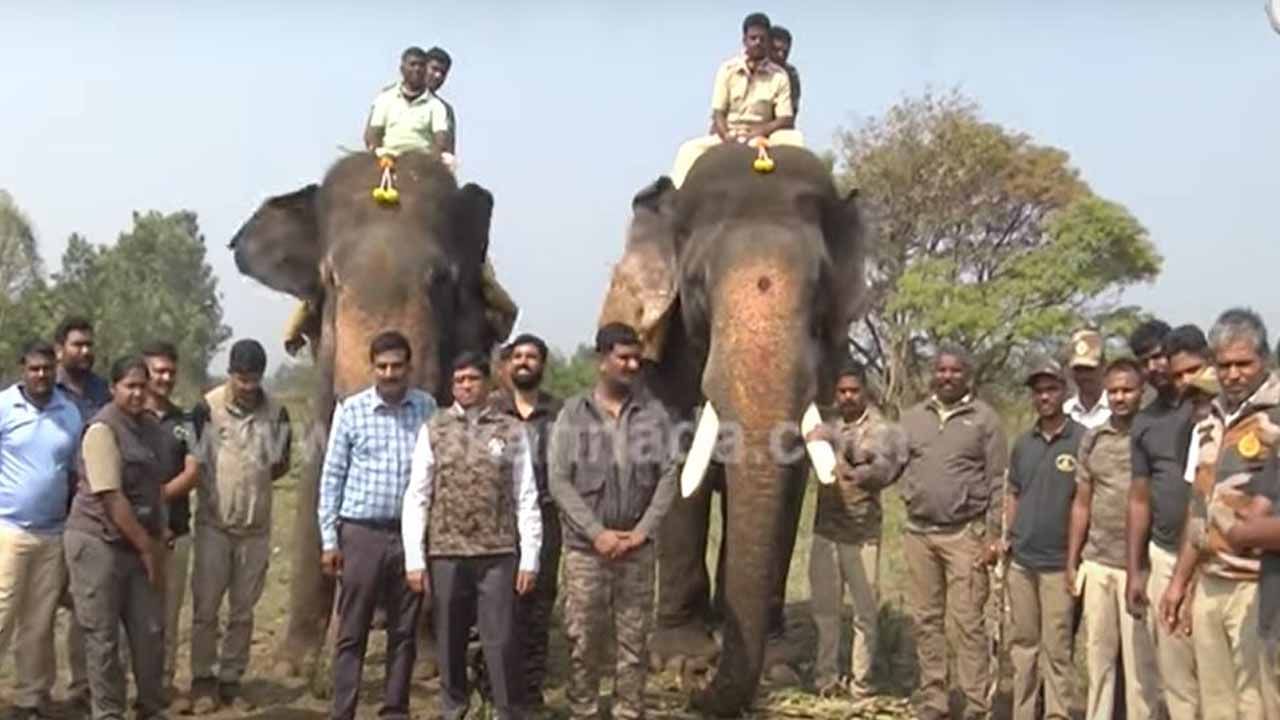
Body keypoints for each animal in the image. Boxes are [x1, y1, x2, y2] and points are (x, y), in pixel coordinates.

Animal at [593, 141, 865, 712]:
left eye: (820, 292)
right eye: (696, 285)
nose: (696, 687)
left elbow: (793, 477)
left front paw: (779, 666)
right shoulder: (666, 354)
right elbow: (677, 468)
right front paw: (680, 659)